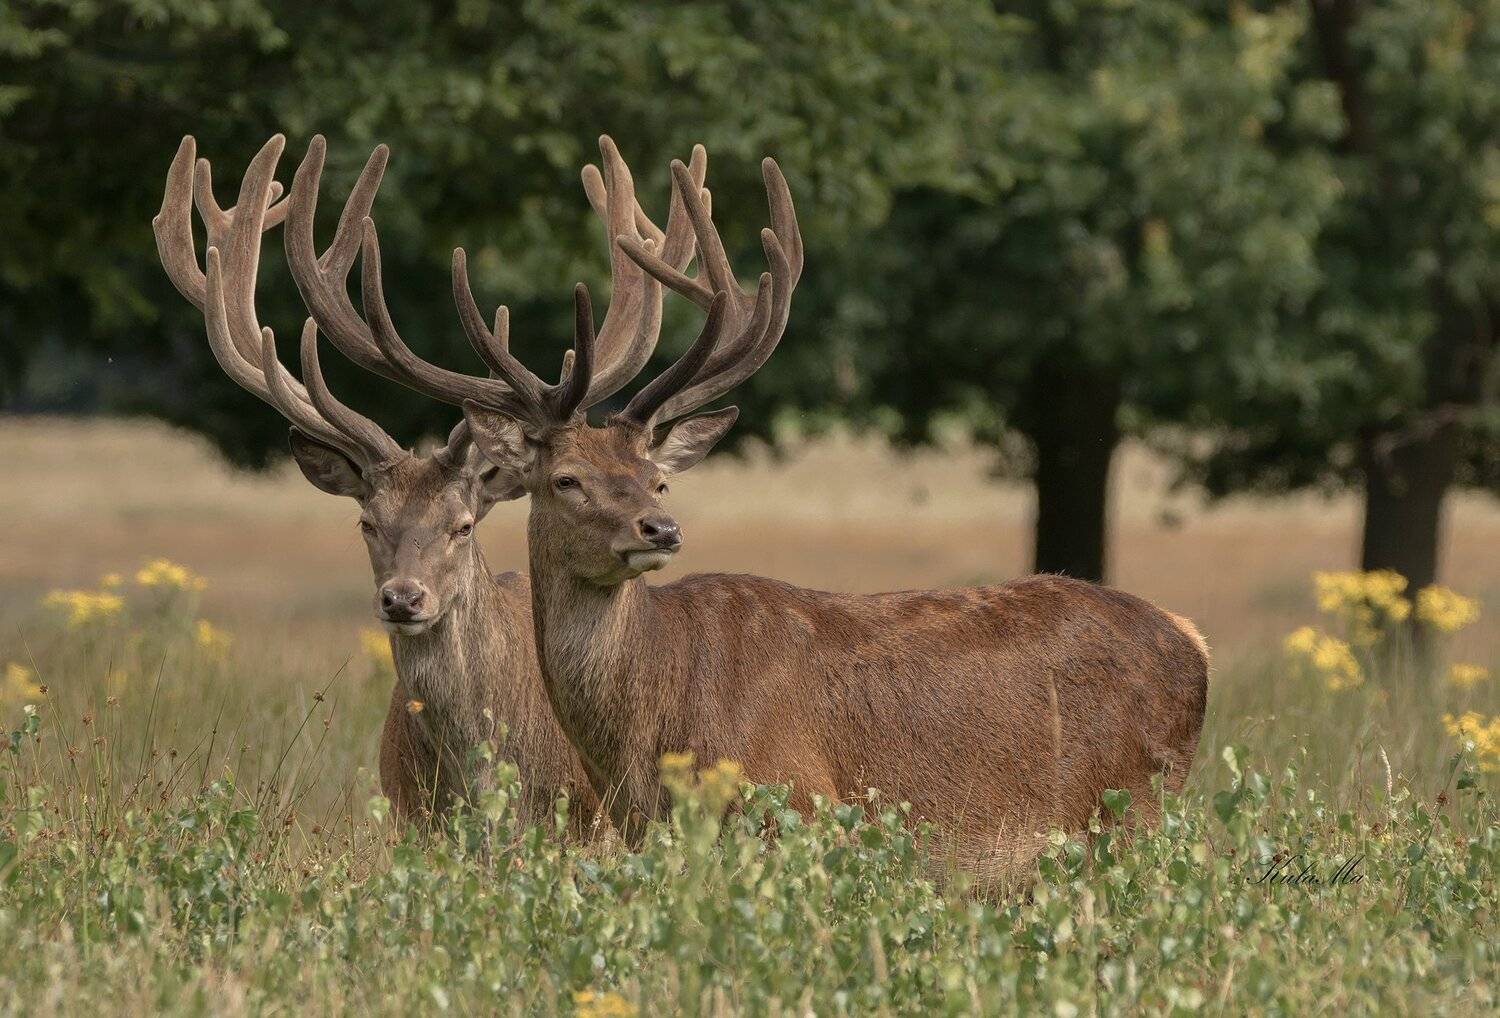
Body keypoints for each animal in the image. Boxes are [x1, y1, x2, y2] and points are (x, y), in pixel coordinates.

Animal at [349, 143, 1210, 879]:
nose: (661, 529)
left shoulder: (795, 805)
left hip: (1129, 809)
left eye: (656, 480)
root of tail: (1192, 642)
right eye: (566, 480)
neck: (653, 723)